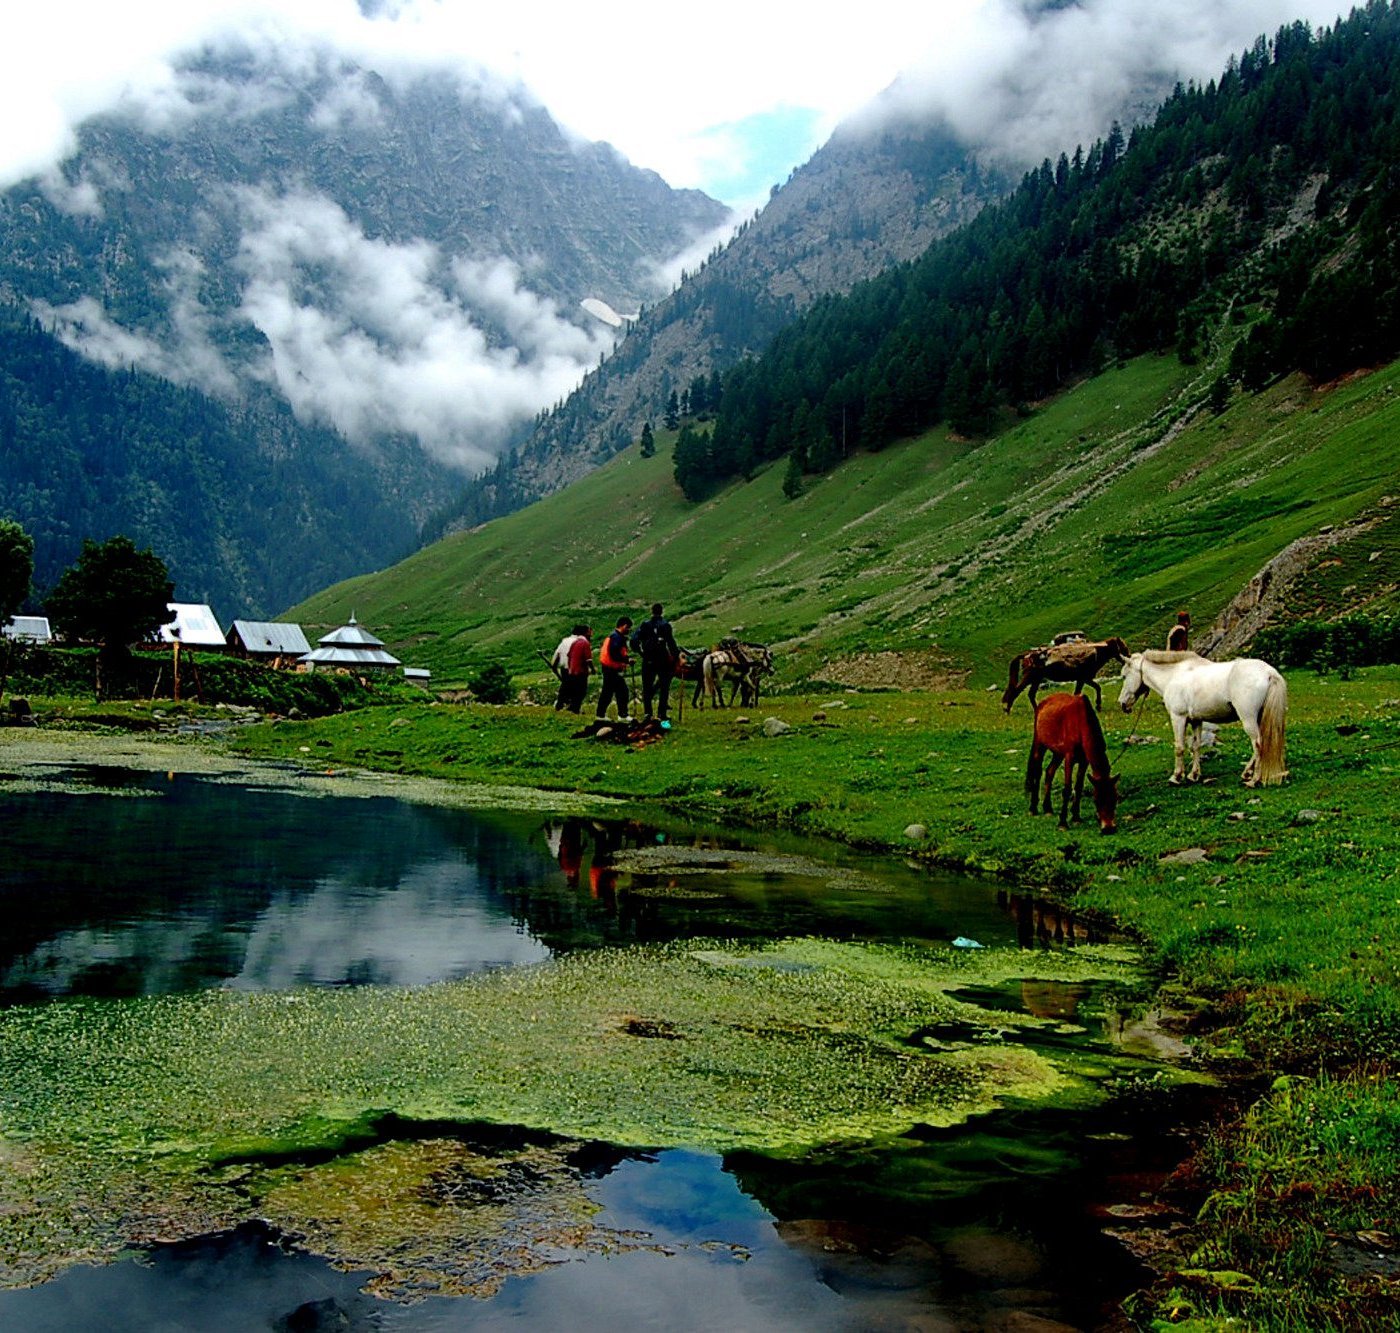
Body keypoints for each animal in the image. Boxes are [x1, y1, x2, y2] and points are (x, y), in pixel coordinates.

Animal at [1002, 638, 1131, 714]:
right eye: (1123, 646)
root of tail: (1027, 655)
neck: (1096, 653)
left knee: (1031, 694)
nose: (1129, 656)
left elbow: (1086, 690)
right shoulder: (1084, 678)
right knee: (1016, 691)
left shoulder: (1083, 679)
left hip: (1036, 679)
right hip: (1030, 677)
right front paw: (1098, 706)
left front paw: (1097, 706)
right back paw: (1007, 709)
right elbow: (1092, 689)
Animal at [1024, 691, 1120, 828]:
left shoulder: (1084, 761)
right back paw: (1033, 808)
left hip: (1058, 753)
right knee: (1037, 771)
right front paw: (1063, 822)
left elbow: (1078, 787)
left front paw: (1076, 817)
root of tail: (1043, 702)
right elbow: (1068, 789)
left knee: (1049, 771)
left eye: (1115, 799)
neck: (1081, 723)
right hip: (1040, 744)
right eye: (1096, 800)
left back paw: (1048, 808)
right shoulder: (1069, 758)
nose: (1109, 828)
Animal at [1114, 649, 1288, 784]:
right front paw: (1194, 775)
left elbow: (1179, 747)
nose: (1122, 703)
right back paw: (1246, 773)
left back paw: (1254, 779)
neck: (1174, 675)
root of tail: (1269, 672)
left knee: (1258, 744)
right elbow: (1195, 746)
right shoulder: (1196, 720)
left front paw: (1177, 776)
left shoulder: (1178, 718)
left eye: (1124, 676)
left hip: (1249, 719)